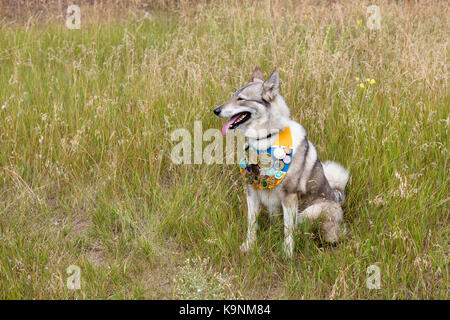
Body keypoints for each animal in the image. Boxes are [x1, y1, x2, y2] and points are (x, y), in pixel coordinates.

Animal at [213, 67, 350, 258]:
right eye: (233, 95)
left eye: (241, 99)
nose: (215, 110)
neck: (265, 139)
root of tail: (338, 198)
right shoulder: (251, 192)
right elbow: (251, 224)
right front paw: (249, 246)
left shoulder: (289, 197)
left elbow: (288, 230)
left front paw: (287, 253)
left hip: (310, 212)